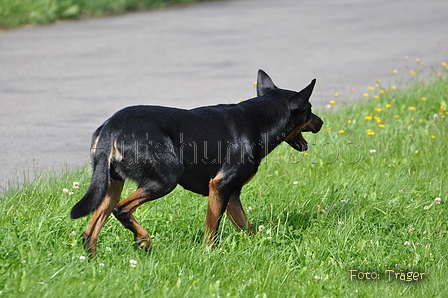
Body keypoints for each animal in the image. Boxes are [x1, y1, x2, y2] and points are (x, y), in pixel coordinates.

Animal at [71, 68, 322, 255]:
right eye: (309, 110)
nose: (320, 122)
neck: (258, 121)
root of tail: (112, 127)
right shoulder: (219, 186)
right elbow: (212, 231)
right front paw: (209, 254)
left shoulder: (231, 195)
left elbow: (246, 227)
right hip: (166, 178)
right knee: (121, 210)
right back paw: (143, 239)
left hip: (110, 185)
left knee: (90, 233)